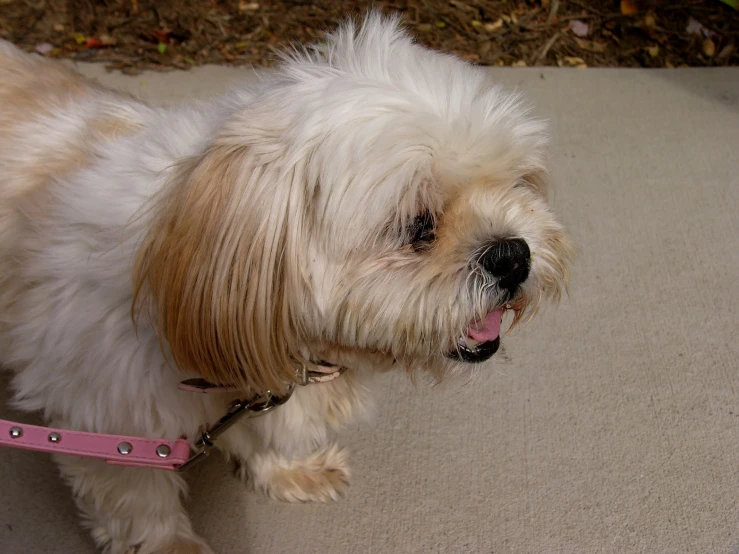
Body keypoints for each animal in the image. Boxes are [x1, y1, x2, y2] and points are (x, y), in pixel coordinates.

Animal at [0, 12, 576, 552]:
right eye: (418, 227)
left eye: (519, 183)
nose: (513, 255)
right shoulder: (107, 420)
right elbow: (140, 504)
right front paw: (170, 546)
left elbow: (265, 439)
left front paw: (291, 471)